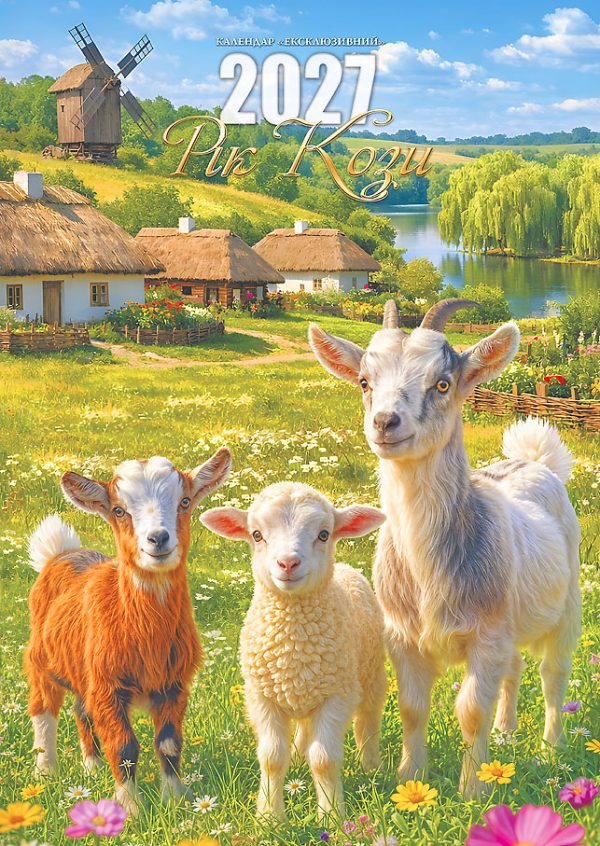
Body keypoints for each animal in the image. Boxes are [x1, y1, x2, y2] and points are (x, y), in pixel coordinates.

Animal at [24, 448, 232, 812]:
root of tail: (61, 552)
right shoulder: (107, 686)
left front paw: (174, 800)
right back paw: (46, 770)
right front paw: (129, 809)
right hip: (40, 659)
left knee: (81, 710)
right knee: (43, 708)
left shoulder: (174, 684)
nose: (158, 538)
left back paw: (91, 767)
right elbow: (123, 747)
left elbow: (169, 743)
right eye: (119, 510)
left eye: (184, 501)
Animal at [201, 482, 387, 820]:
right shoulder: (261, 696)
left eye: (324, 534)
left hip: (370, 673)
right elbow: (272, 757)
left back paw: (370, 766)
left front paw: (332, 816)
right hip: (303, 690)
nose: (287, 563)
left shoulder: (337, 695)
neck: (292, 641)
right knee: (304, 728)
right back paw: (299, 755)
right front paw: (269, 817)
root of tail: (346, 568)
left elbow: (324, 758)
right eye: (256, 534)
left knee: (367, 720)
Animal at [309, 300, 581, 798]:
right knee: (514, 669)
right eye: (364, 382)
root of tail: (536, 461)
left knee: (554, 674)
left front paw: (472, 790)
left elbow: (470, 709)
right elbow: (412, 707)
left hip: (567, 604)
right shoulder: (402, 635)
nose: (385, 422)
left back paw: (551, 746)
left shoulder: (486, 634)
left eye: (442, 383)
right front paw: (410, 778)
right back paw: (505, 734)